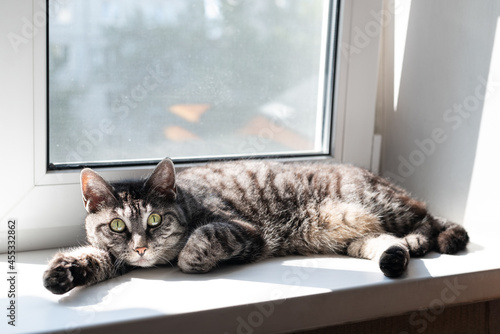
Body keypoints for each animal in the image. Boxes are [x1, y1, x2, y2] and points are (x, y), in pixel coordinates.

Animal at [43, 158, 468, 294]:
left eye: (154, 219)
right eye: (116, 225)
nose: (142, 247)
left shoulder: (246, 231)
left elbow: (202, 240)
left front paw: (190, 256)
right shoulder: (115, 256)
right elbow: (95, 256)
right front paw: (64, 271)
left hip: (381, 204)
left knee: (429, 216)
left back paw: (424, 238)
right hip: (358, 236)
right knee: (385, 244)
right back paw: (397, 254)